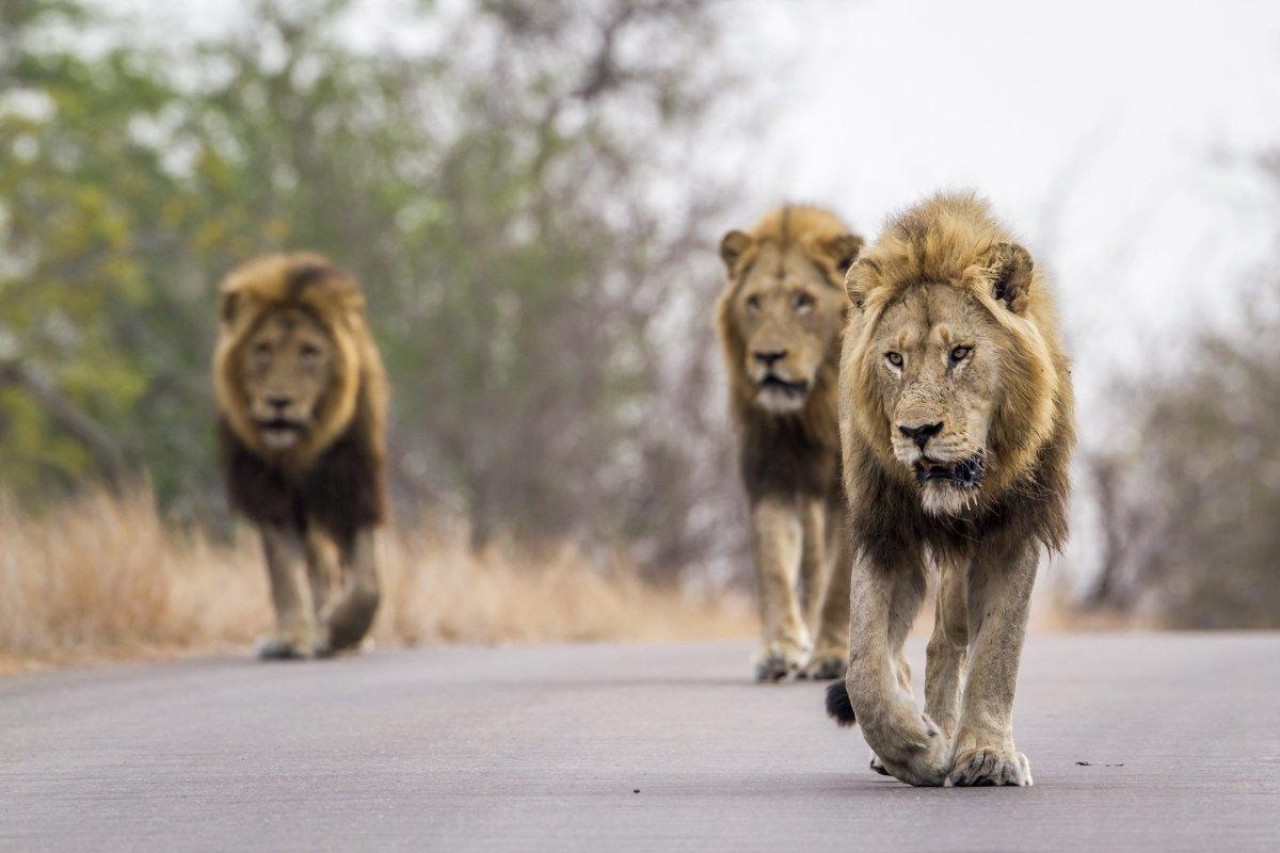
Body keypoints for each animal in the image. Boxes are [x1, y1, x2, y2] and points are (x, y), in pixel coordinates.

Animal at [214, 252, 390, 660]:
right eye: (262, 350)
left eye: (310, 351)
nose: (279, 402)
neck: (300, 448)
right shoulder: (268, 491)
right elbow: (285, 571)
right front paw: (294, 636)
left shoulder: (350, 487)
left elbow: (367, 586)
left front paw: (340, 629)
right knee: (314, 565)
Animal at [716, 205, 865, 681]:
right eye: (754, 302)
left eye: (803, 301)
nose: (768, 356)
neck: (810, 412)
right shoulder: (771, 475)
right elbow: (775, 564)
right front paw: (779, 649)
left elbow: (841, 581)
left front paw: (833, 653)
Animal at [823, 192, 1075, 786]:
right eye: (894, 358)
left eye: (960, 352)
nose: (917, 431)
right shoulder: (885, 535)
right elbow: (863, 667)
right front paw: (914, 748)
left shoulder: (1012, 531)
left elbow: (998, 652)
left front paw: (985, 756)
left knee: (949, 640)